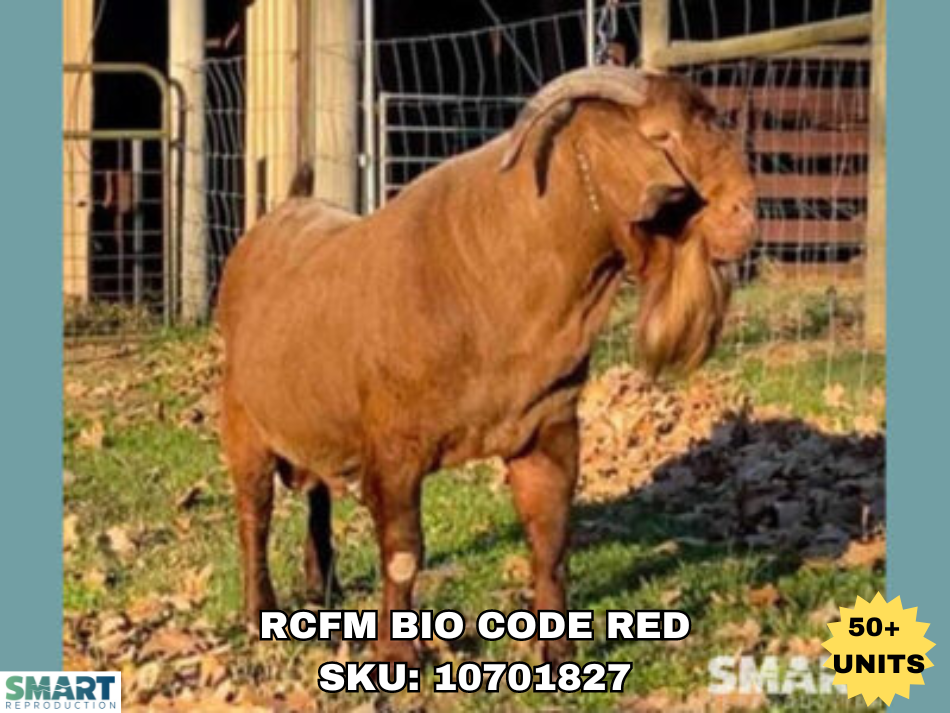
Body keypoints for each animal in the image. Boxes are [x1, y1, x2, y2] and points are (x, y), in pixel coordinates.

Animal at [217, 66, 756, 666]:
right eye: (661, 136)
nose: (745, 215)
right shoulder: (394, 446)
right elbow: (403, 551)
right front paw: (397, 657)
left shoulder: (547, 428)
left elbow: (550, 542)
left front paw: (558, 656)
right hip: (242, 422)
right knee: (254, 515)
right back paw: (259, 613)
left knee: (317, 494)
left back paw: (323, 587)